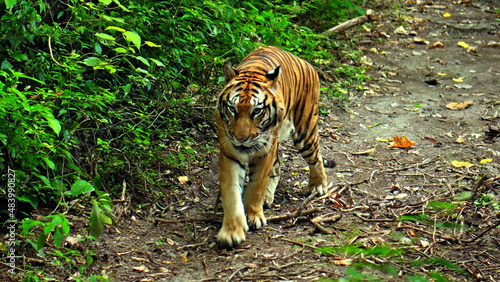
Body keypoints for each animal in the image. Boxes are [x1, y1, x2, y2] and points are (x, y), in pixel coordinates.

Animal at [215, 45, 336, 247]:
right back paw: (268, 196)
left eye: (257, 111)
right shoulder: (229, 152)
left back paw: (318, 186)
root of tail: (305, 62)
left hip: (305, 133)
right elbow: (231, 191)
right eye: (232, 109)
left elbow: (257, 185)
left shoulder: (264, 151)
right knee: (278, 166)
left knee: (316, 157)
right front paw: (231, 231)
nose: (241, 138)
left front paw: (253, 215)